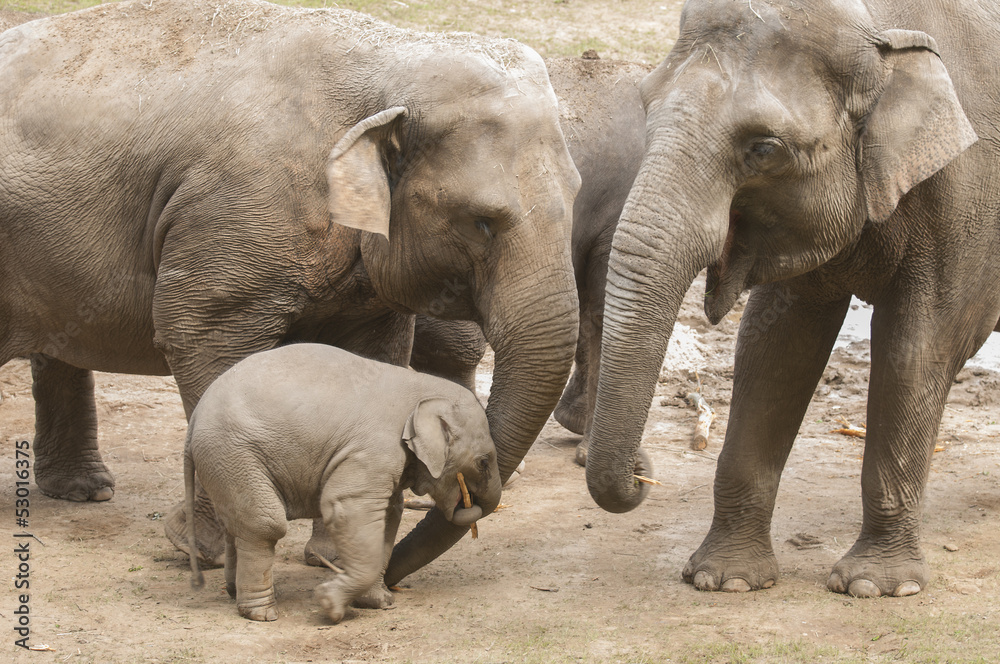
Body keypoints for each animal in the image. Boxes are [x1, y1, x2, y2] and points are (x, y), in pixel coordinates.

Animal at [0, 0, 579, 579]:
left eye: (576, 193)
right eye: (481, 222)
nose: (394, 574)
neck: (392, 59)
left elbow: (374, 353)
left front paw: (334, 559)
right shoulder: (229, 220)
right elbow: (198, 335)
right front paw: (202, 551)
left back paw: (83, 490)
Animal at [185, 344, 500, 623]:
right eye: (483, 462)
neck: (422, 387)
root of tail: (195, 418)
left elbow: (389, 514)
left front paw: (379, 602)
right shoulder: (374, 450)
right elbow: (347, 507)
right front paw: (330, 604)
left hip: (226, 463)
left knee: (235, 525)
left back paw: (235, 592)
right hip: (233, 453)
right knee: (265, 524)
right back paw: (262, 613)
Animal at [584, 0, 999, 598]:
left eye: (764, 148)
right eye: (645, 106)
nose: (643, 472)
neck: (880, 30)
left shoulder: (969, 195)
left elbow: (919, 347)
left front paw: (876, 587)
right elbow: (775, 346)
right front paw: (725, 580)